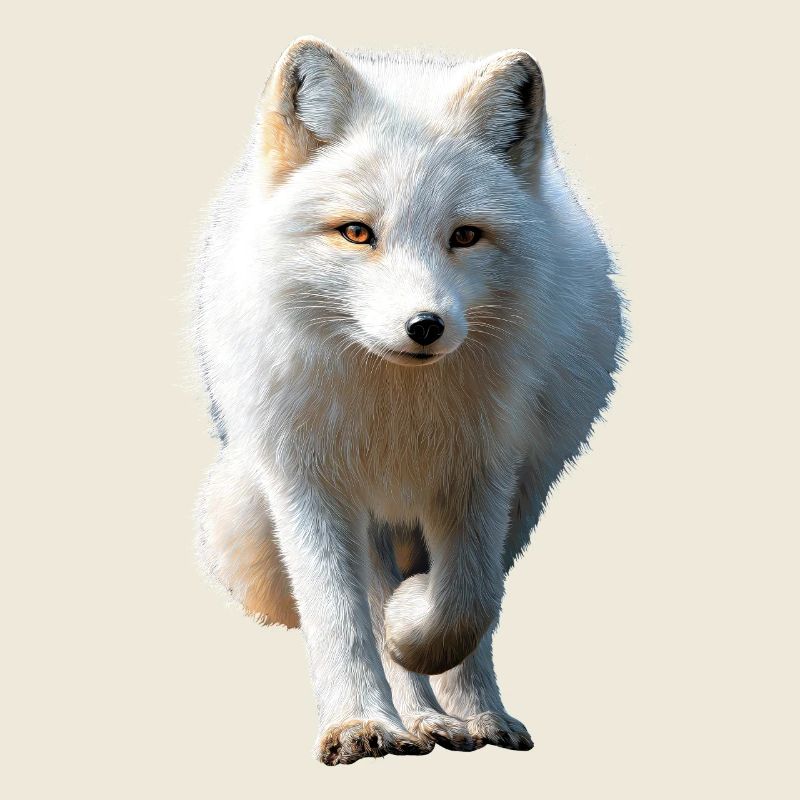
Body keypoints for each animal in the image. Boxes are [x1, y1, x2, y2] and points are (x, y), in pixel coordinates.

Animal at [192, 36, 624, 766]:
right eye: (357, 233)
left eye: (466, 236)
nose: (425, 327)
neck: (397, 409)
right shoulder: (309, 480)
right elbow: (341, 615)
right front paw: (359, 721)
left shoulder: (482, 470)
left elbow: (467, 603)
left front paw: (417, 639)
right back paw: (412, 719)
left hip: (522, 495)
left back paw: (467, 716)